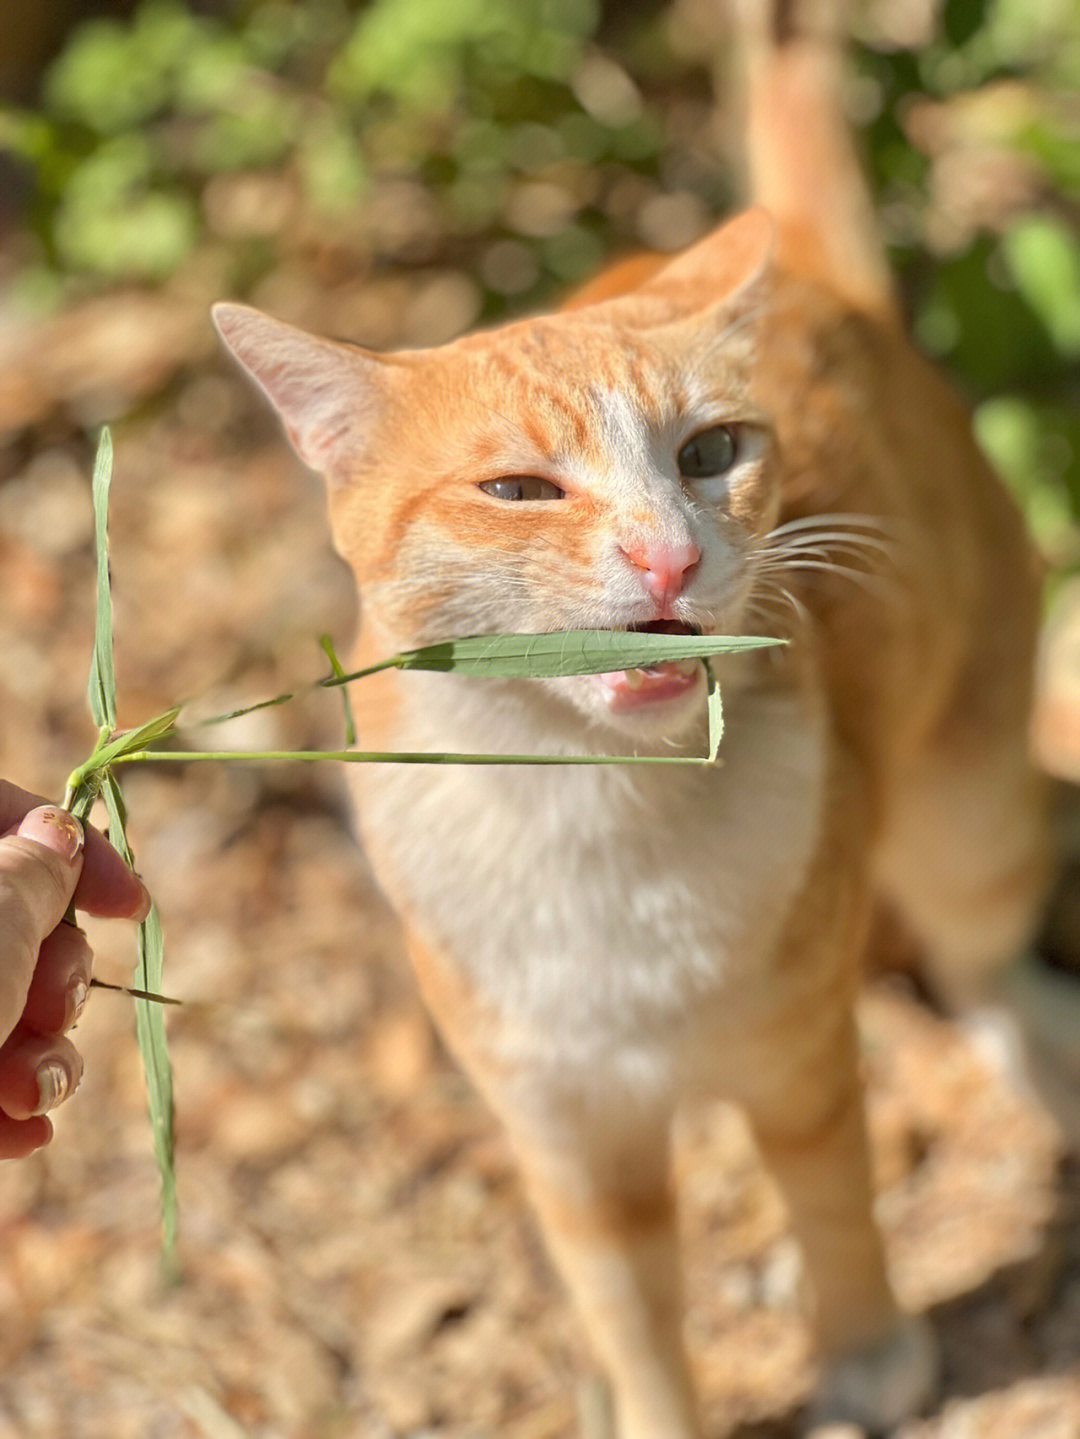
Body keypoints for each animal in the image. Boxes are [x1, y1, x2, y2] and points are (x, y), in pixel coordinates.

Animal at [212, 2, 1058, 1439]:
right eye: (517, 489)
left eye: (711, 452)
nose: (670, 555)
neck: (595, 808)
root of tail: (817, 274)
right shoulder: (563, 1129)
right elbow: (631, 1310)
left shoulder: (800, 1055)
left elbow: (834, 1198)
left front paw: (871, 1355)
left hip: (969, 804)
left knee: (982, 941)